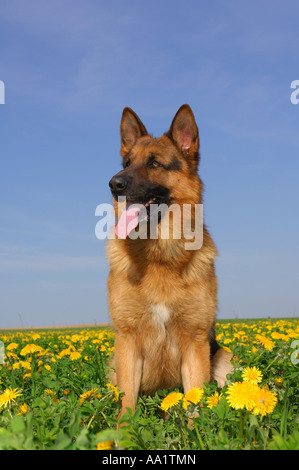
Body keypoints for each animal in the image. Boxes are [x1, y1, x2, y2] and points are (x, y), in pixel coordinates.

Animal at [106, 103, 233, 418]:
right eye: (127, 162)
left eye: (155, 164)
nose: (113, 184)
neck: (159, 256)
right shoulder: (127, 340)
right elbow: (127, 404)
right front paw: (122, 429)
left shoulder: (195, 342)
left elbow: (195, 404)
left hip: (225, 358)